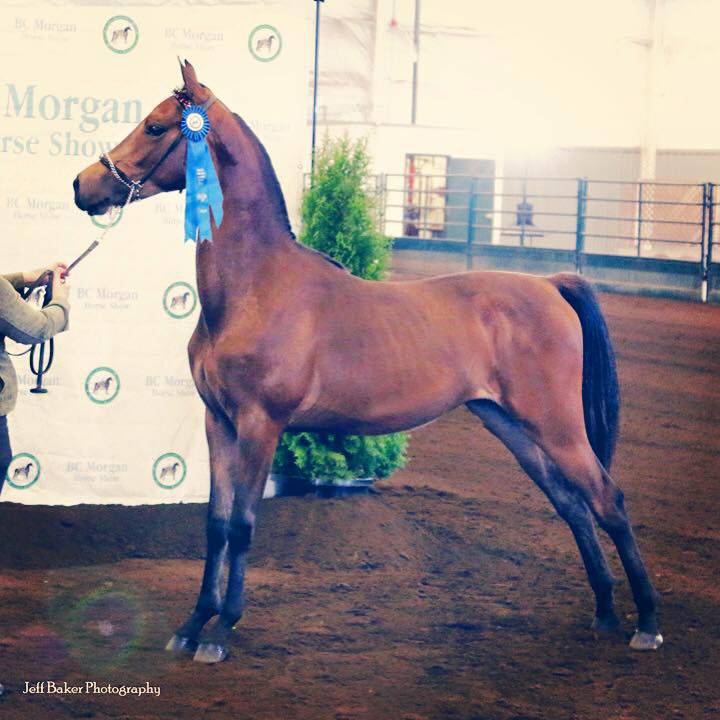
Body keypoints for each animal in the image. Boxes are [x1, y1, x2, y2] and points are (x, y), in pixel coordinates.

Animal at [73, 60, 662, 664]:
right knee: (574, 505)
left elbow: (243, 523)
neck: (255, 289)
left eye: (155, 126)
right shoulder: (219, 422)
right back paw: (604, 613)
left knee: (607, 500)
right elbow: (215, 523)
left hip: (556, 426)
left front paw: (221, 631)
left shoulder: (262, 424)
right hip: (512, 426)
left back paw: (646, 624)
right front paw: (192, 625)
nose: (82, 185)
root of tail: (550, 283)